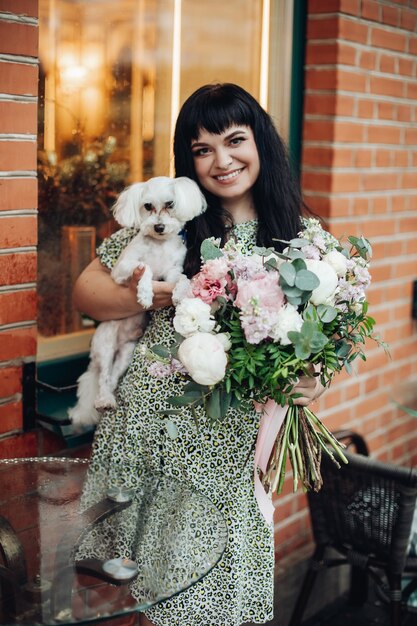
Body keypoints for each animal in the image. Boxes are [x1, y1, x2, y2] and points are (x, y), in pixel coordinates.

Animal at [68, 178, 206, 426]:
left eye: (170, 204)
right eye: (148, 206)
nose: (158, 227)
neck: (160, 245)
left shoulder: (173, 270)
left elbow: (180, 278)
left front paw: (180, 292)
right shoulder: (123, 269)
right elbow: (146, 268)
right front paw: (145, 294)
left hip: (126, 353)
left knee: (113, 378)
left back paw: (109, 399)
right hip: (105, 344)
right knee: (103, 377)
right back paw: (103, 400)